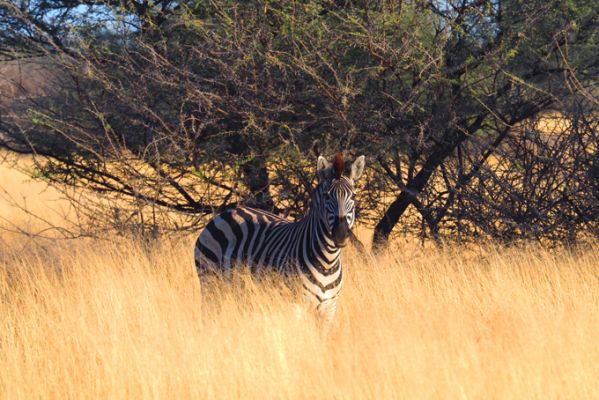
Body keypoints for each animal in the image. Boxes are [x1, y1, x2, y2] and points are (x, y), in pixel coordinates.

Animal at [196, 153, 366, 324]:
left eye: (354, 196)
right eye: (326, 196)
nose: (340, 235)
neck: (328, 262)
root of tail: (226, 213)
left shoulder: (329, 308)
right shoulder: (296, 304)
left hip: (241, 290)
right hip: (209, 282)